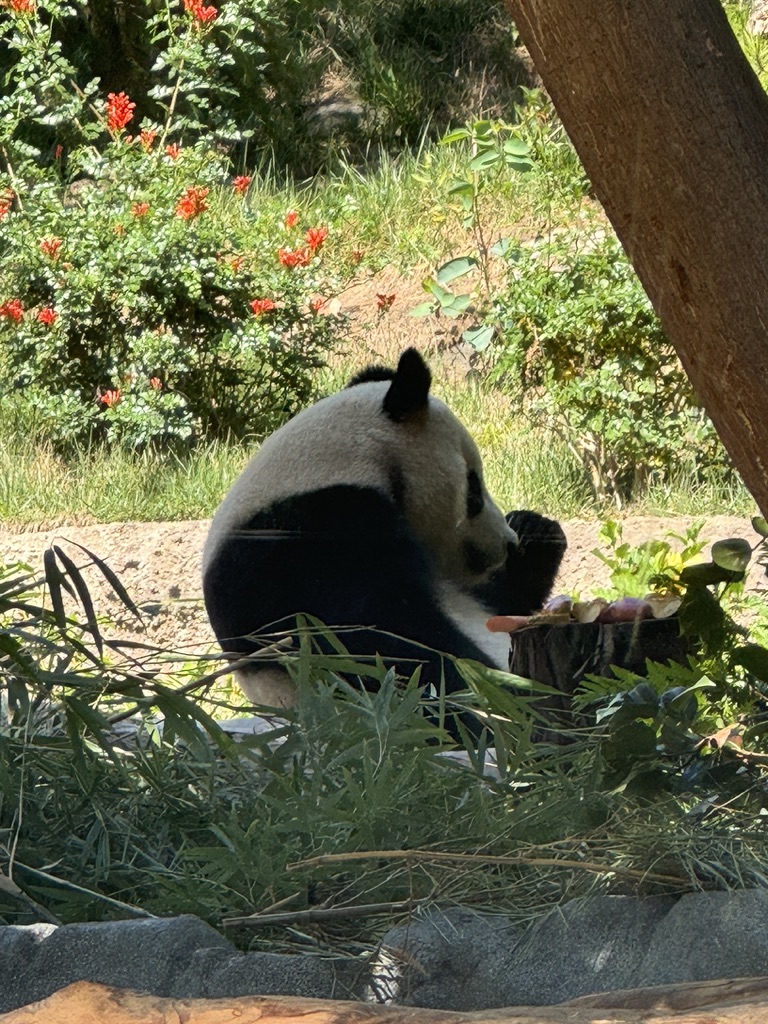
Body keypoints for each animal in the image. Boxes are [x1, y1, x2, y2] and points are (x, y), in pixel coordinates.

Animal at [201, 350, 569, 737]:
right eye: (473, 491)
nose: (507, 544)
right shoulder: (309, 543)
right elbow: (388, 642)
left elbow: (499, 604)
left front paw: (534, 531)